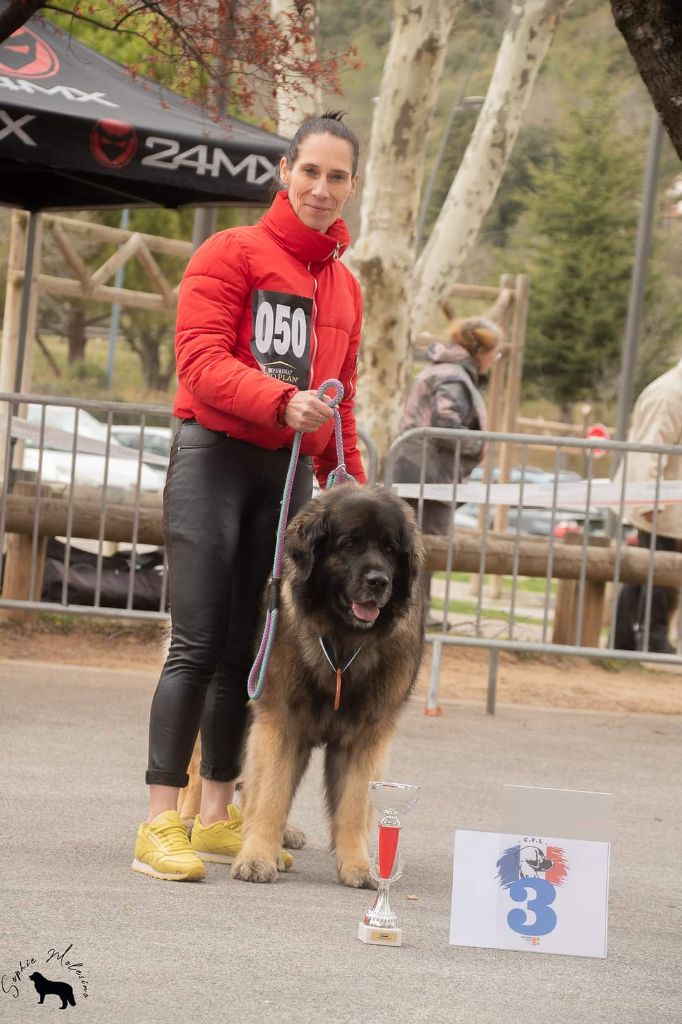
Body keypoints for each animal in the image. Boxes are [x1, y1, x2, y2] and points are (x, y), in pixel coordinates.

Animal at [231, 483, 421, 884]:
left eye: (390, 549)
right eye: (349, 544)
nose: (378, 581)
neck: (341, 643)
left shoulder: (365, 736)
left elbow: (354, 804)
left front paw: (360, 866)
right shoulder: (280, 721)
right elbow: (270, 793)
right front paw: (257, 856)